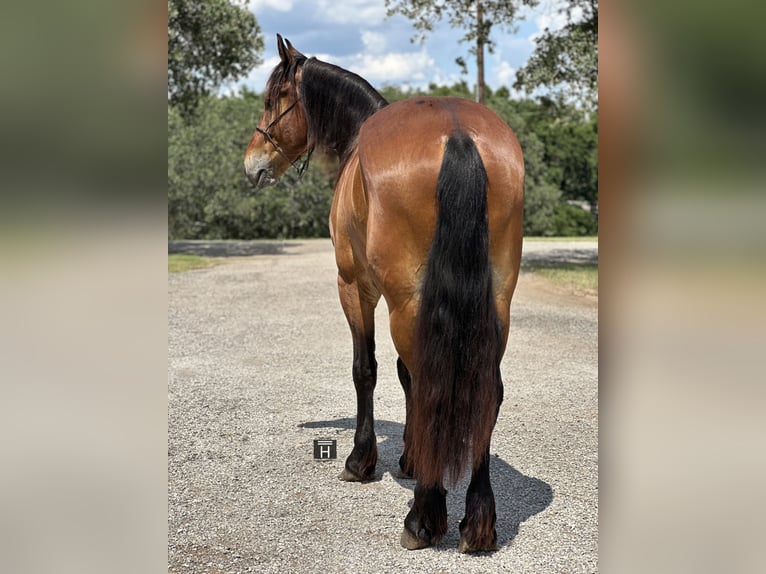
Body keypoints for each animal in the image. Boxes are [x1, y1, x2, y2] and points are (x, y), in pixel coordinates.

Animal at [246, 35, 528, 552]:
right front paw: (412, 459)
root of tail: (457, 134)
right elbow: (404, 375)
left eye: (274, 98)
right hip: (494, 304)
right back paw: (478, 522)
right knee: (485, 389)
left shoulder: (356, 287)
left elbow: (369, 370)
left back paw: (423, 516)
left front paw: (362, 460)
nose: (252, 163)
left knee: (431, 381)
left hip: (404, 302)